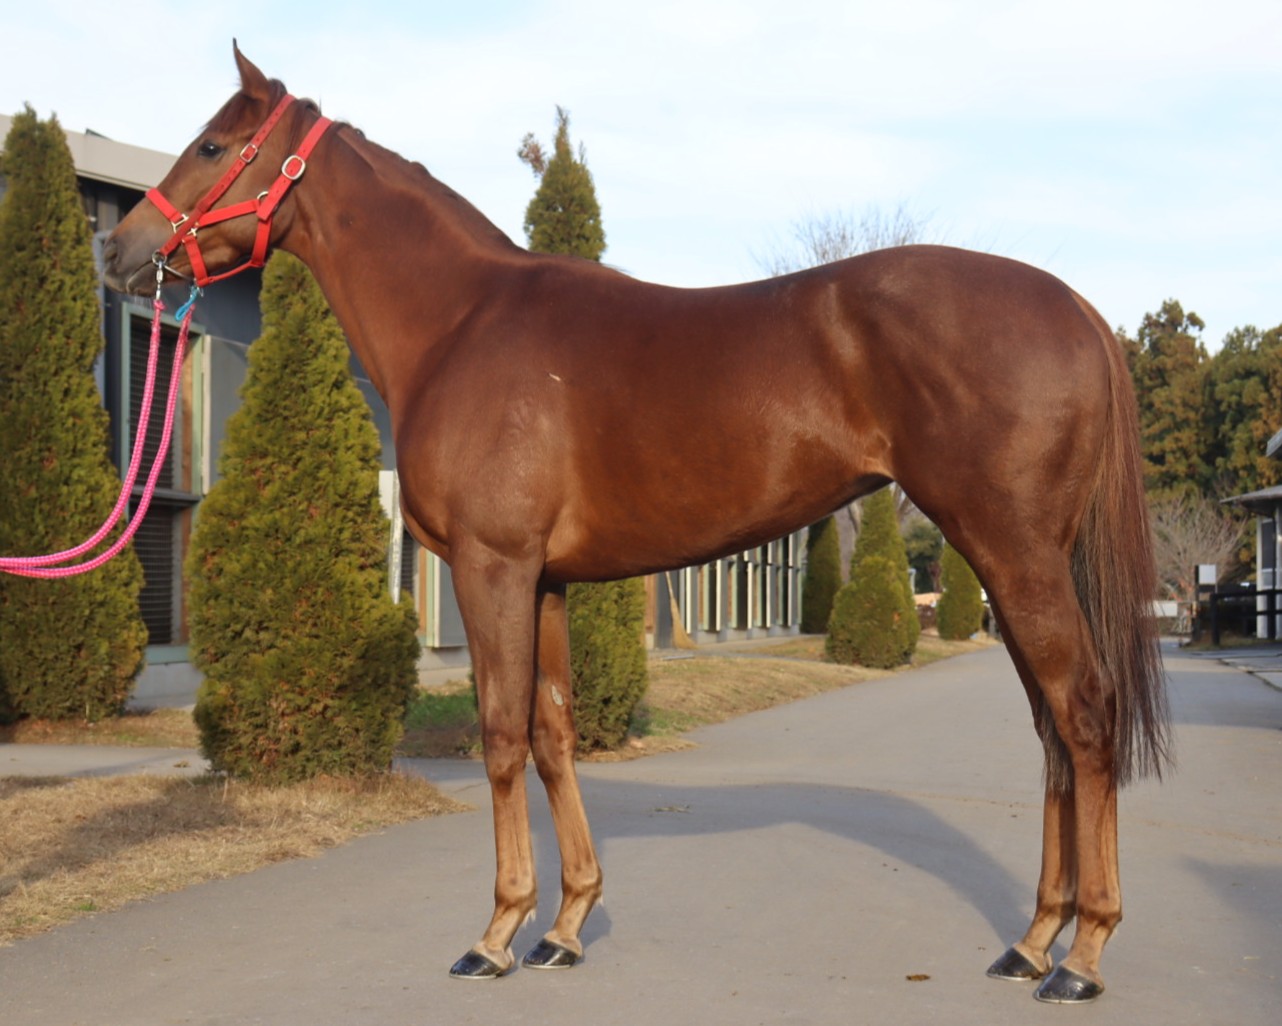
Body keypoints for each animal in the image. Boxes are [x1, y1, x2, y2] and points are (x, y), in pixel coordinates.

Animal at [102, 45, 1170, 1004]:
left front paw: (496, 934)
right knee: (1050, 730)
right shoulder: (545, 580)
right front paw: (565, 925)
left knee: (1083, 714)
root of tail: (1078, 309)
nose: (118, 251)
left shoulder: (494, 568)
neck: (462, 321)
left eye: (210, 144)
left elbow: (500, 733)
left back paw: (1082, 955)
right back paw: (1032, 941)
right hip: (1012, 561)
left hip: (1015, 554)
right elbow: (553, 732)